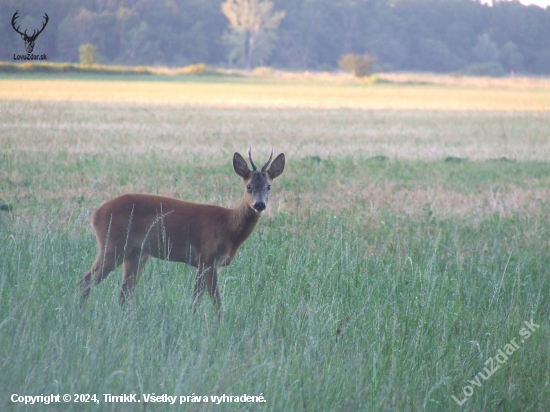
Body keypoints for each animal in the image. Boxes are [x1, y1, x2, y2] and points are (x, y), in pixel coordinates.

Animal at [80, 148, 286, 318]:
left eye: (269, 186)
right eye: (248, 186)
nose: (259, 204)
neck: (228, 227)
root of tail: (96, 215)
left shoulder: (207, 263)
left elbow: (196, 301)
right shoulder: (208, 258)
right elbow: (215, 303)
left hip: (136, 253)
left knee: (124, 292)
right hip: (113, 244)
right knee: (86, 282)